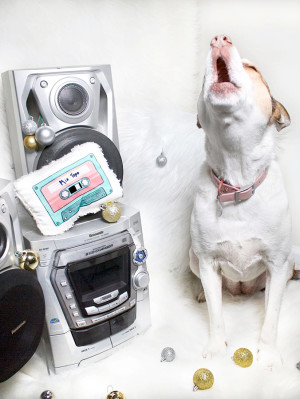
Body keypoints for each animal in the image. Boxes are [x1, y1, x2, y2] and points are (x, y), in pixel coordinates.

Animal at [190, 34, 292, 368]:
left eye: (253, 68)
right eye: (202, 78)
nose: (219, 38)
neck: (237, 183)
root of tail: (242, 289)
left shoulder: (278, 263)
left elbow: (271, 318)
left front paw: (268, 354)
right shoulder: (208, 263)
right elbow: (215, 315)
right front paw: (216, 349)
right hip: (193, 259)